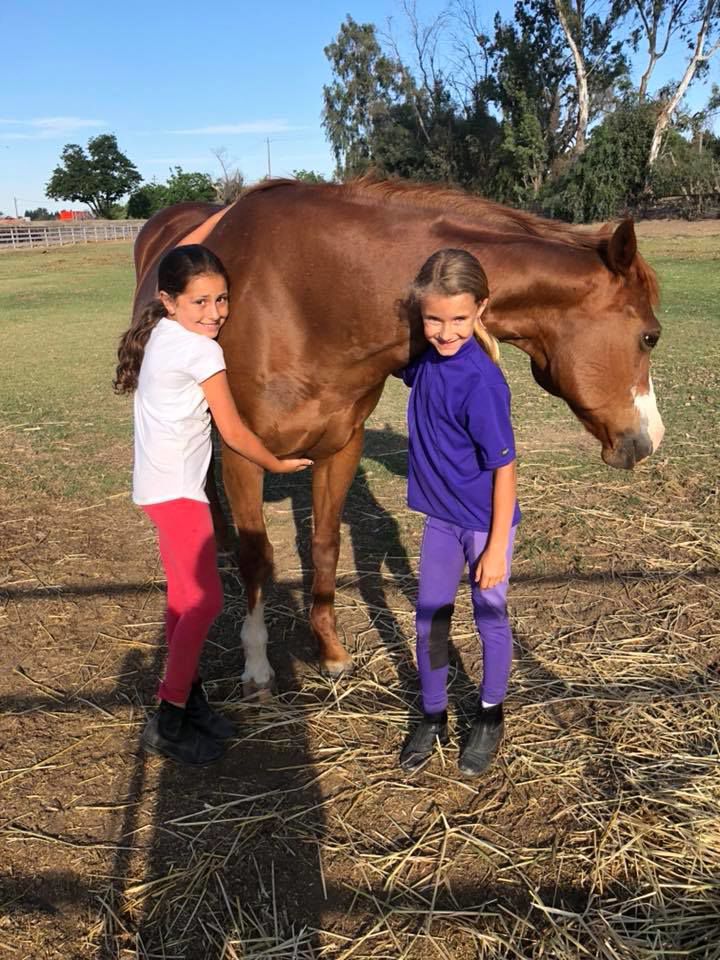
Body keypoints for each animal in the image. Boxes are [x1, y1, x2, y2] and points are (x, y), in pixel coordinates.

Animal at [133, 177, 665, 696]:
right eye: (650, 336)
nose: (652, 438)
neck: (302, 297)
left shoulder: (341, 447)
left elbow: (326, 544)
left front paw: (330, 651)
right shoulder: (243, 455)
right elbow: (257, 557)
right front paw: (258, 665)